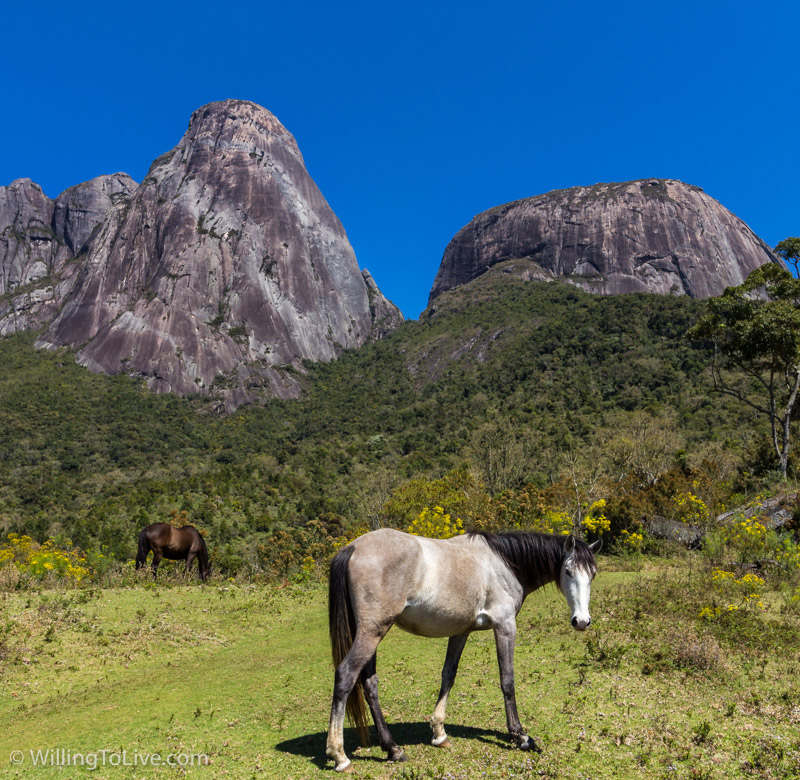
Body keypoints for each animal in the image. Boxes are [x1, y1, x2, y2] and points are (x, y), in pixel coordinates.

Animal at [324, 528, 600, 772]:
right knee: (346, 675)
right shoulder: (505, 626)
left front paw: (439, 733)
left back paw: (393, 749)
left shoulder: (460, 631)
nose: (582, 621)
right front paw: (521, 736)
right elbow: (507, 681)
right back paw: (340, 756)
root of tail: (353, 548)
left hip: (373, 633)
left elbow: (448, 675)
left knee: (370, 683)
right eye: (567, 571)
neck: (503, 564)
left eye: (593, 574)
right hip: (372, 632)